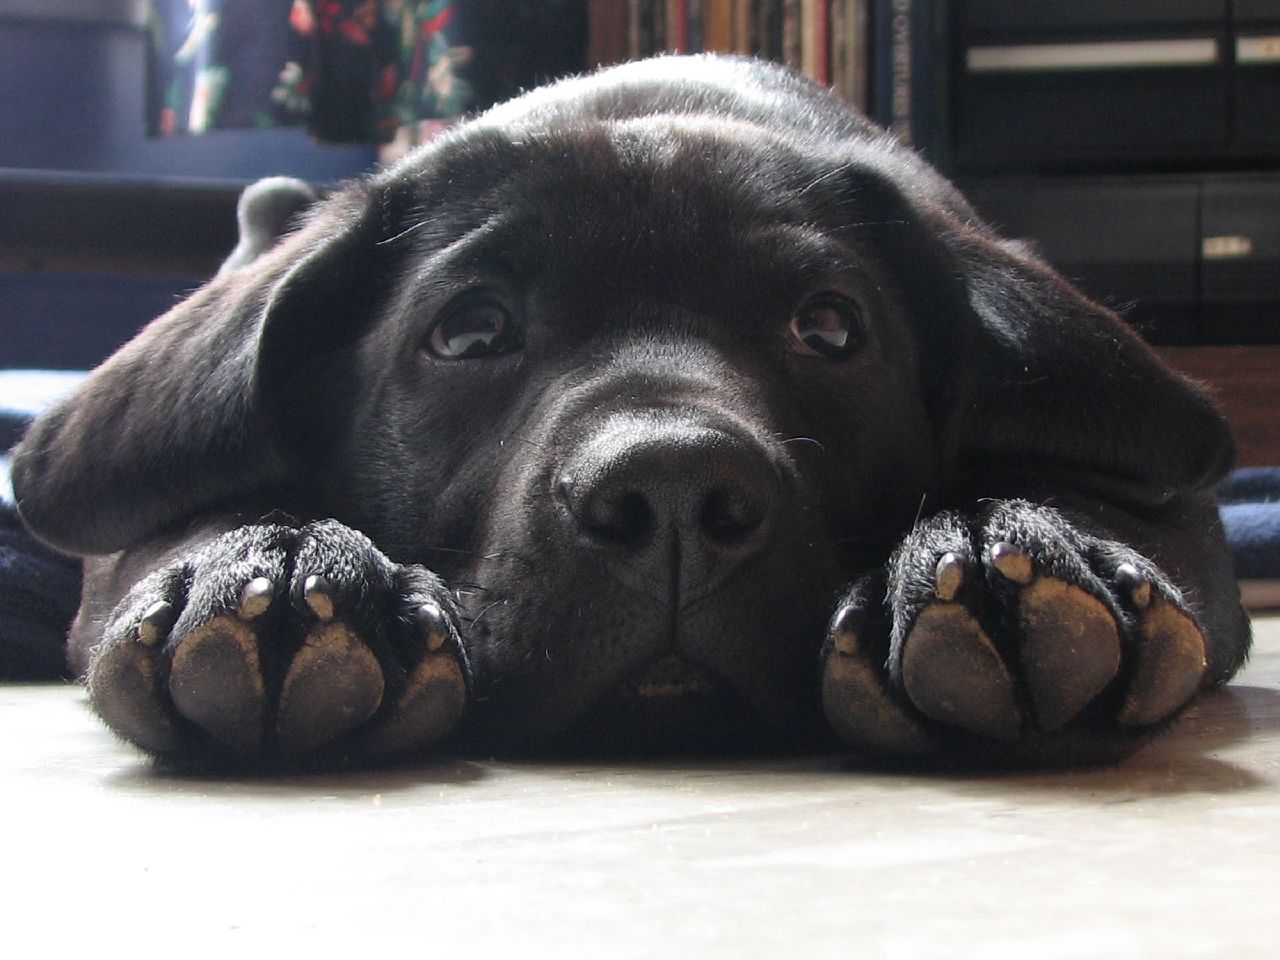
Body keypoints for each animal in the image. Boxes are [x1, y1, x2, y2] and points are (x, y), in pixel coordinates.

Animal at [10, 58, 1249, 768]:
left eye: (829, 328)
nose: (673, 494)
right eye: (470, 332)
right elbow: (172, 521)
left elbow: (1115, 510)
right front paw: (270, 558)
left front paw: (1003, 545)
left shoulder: (1181, 511)